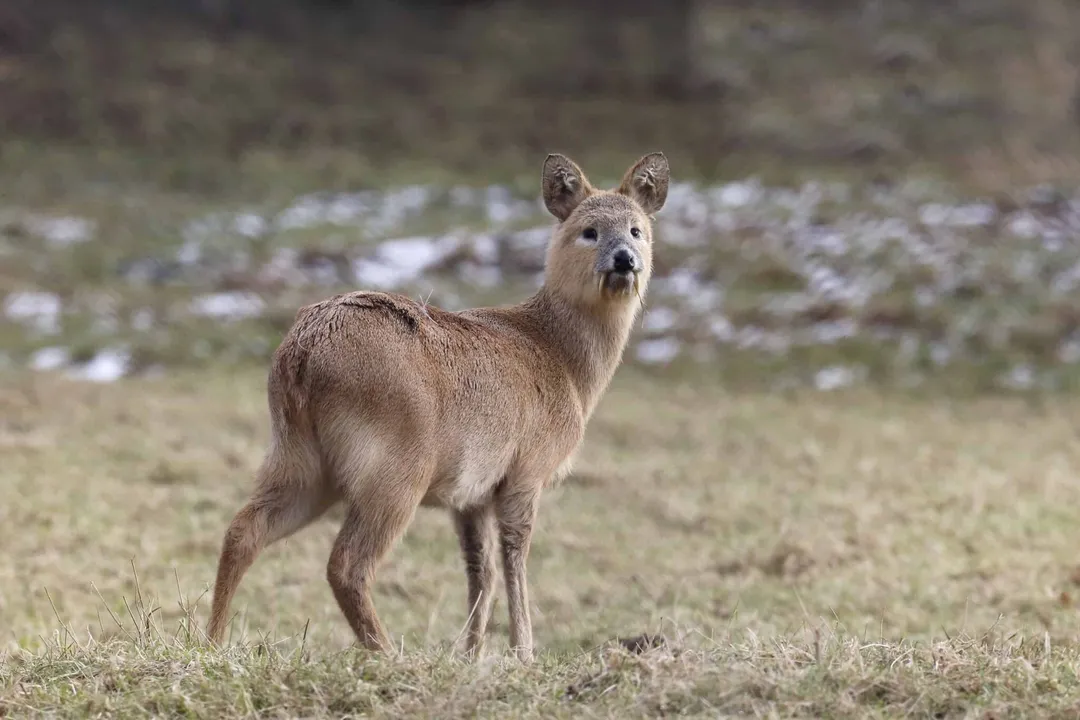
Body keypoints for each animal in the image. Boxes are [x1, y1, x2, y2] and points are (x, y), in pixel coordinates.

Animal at [205, 151, 670, 663]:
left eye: (636, 230)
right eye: (589, 231)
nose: (625, 259)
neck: (563, 360)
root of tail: (302, 352)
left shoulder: (470, 493)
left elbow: (480, 568)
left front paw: (470, 656)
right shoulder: (526, 469)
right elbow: (514, 558)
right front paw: (523, 653)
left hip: (299, 457)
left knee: (243, 530)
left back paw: (212, 643)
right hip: (394, 465)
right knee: (346, 564)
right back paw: (387, 653)